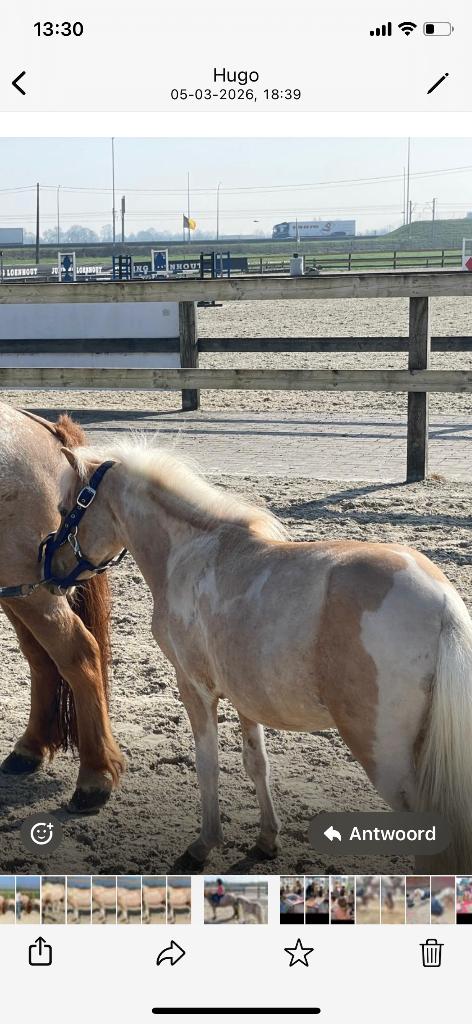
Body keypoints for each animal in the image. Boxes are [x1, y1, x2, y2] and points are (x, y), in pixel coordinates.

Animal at [0, 403, 124, 813]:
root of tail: (47, 431)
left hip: (34, 593)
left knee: (78, 654)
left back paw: (94, 778)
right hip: (19, 591)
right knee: (41, 658)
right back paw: (29, 748)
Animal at [51, 437, 472, 872]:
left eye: (66, 510)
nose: (51, 570)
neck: (188, 553)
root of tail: (442, 603)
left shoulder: (195, 688)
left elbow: (208, 765)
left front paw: (203, 846)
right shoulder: (245, 697)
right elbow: (256, 763)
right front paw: (267, 840)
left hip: (385, 757)